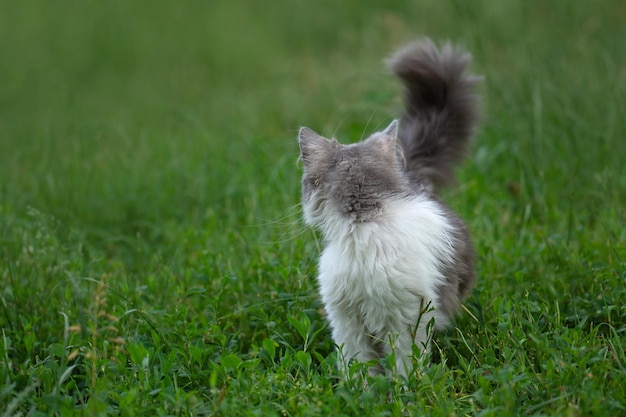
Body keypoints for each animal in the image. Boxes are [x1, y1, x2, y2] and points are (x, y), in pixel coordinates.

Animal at [296, 39, 478, 376]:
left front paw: (406, 388)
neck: (366, 223)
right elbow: (357, 364)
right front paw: (359, 389)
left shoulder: (405, 319)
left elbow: (404, 366)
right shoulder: (346, 320)